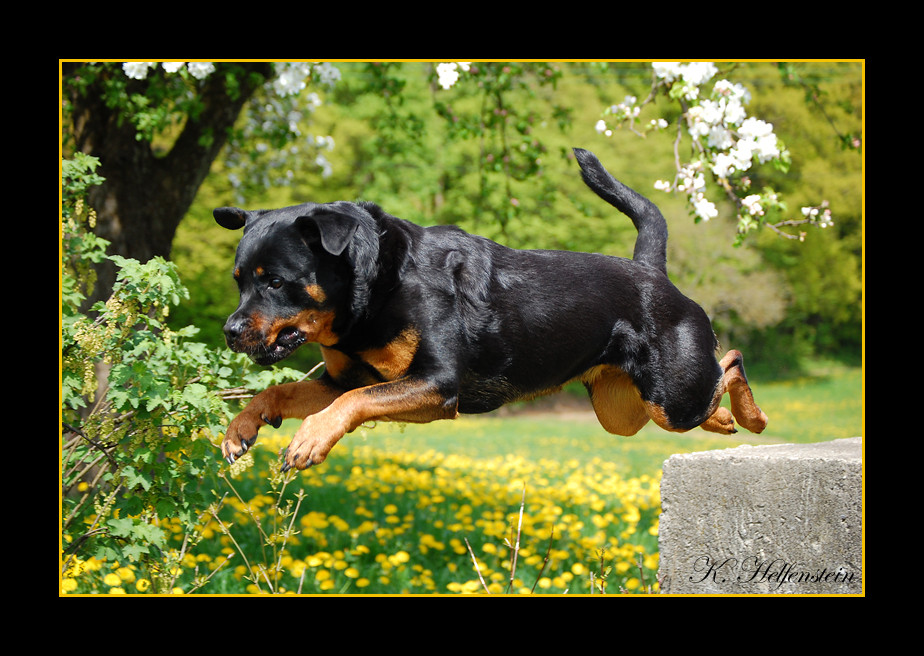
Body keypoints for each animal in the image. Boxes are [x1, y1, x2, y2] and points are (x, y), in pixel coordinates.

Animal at [215, 149, 764, 472]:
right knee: (710, 388)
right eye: (239, 280)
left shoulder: (436, 384)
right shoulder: (343, 379)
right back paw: (728, 423)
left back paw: (751, 417)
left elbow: (348, 404)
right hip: (626, 410)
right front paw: (241, 427)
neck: (374, 289)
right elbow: (286, 392)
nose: (230, 330)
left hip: (670, 394)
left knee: (731, 361)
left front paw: (309, 439)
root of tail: (653, 272)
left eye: (276, 281)